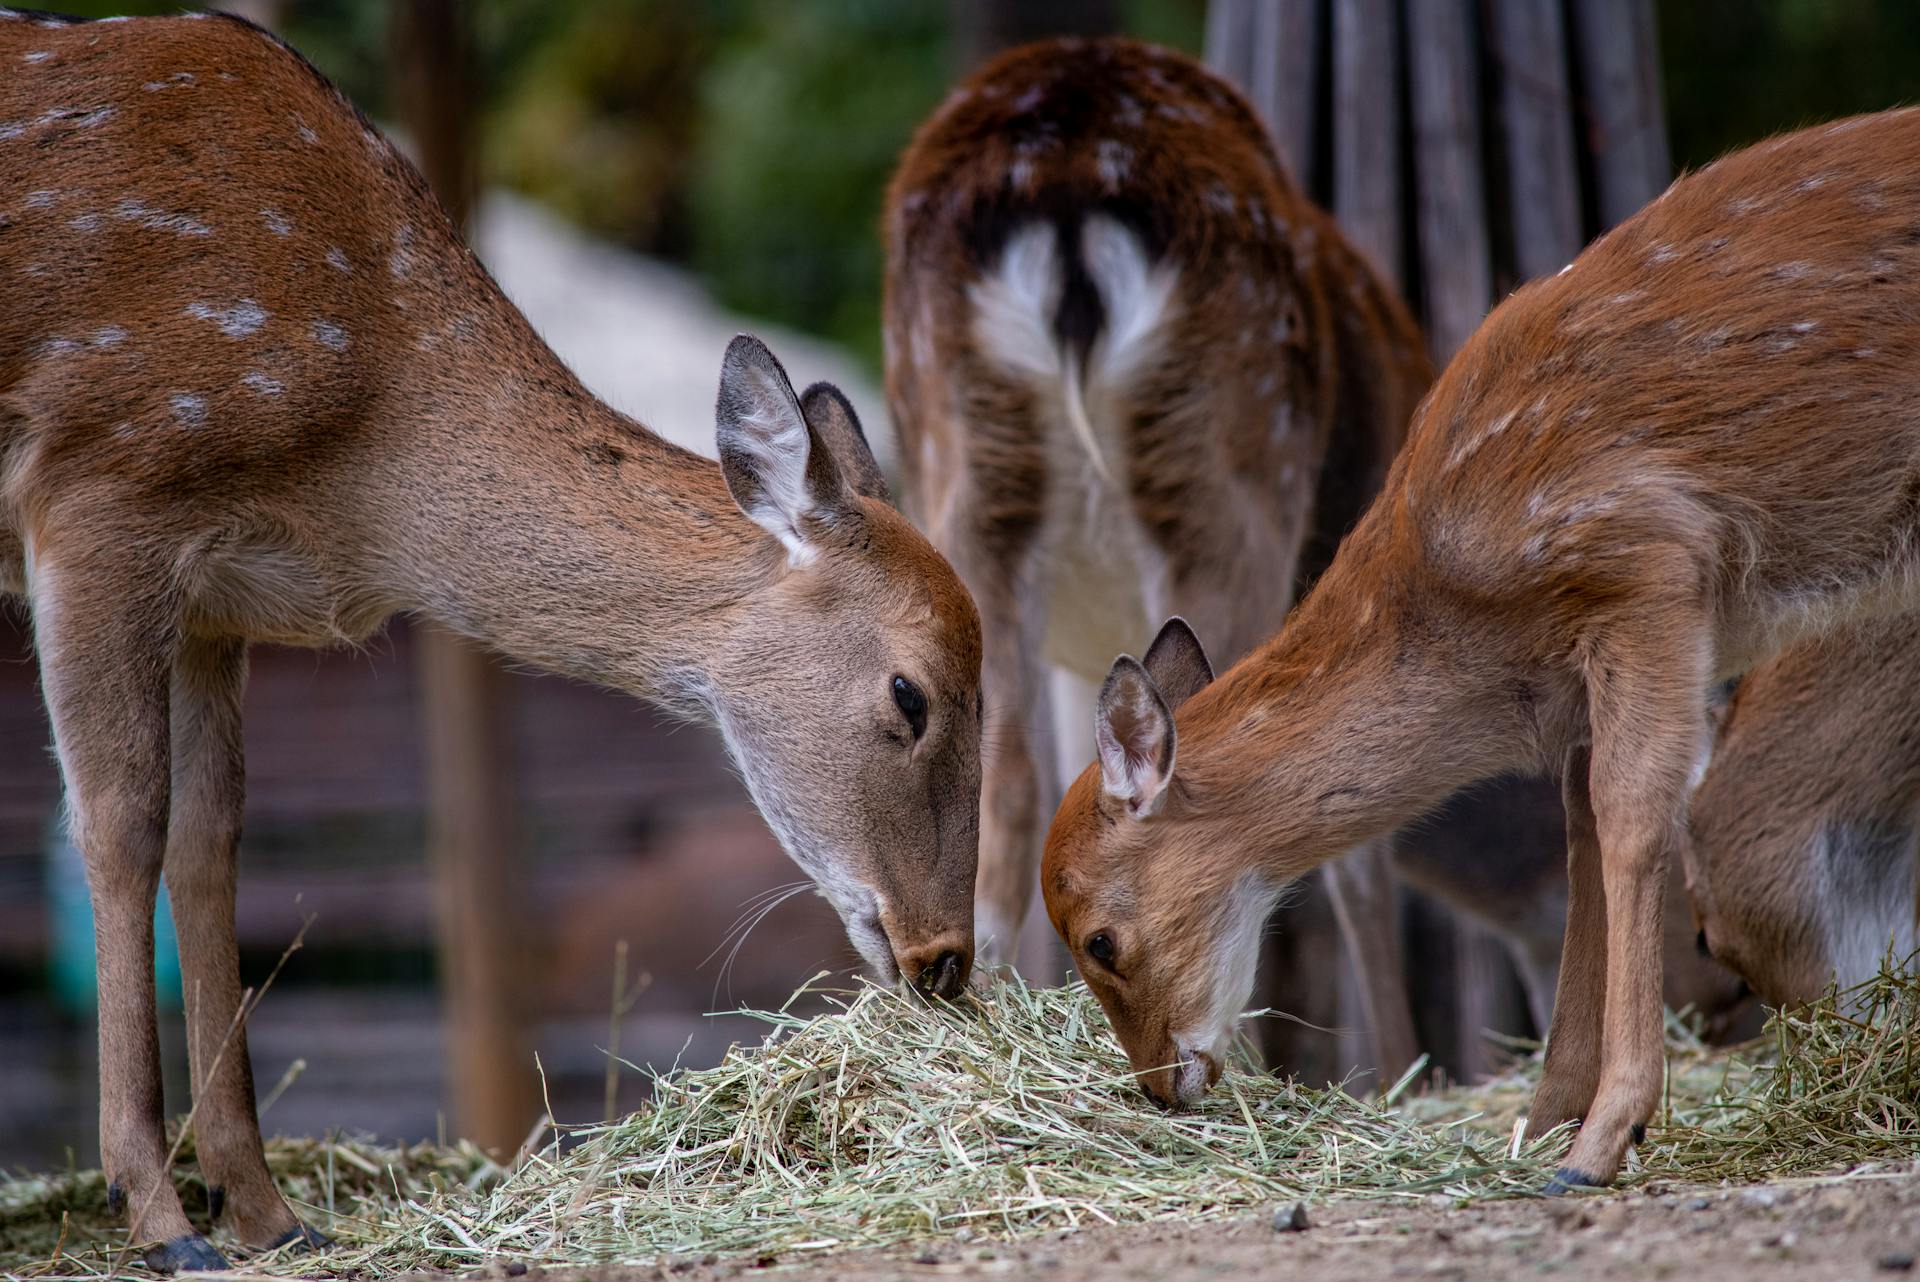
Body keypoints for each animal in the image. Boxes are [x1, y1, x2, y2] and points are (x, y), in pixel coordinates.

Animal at [3, 12, 990, 1274]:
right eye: (911, 693)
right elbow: (122, 828)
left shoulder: (214, 603)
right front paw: (164, 1218)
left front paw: (267, 1209)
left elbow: (211, 845)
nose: (944, 958)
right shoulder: (96, 492)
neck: (359, 471)